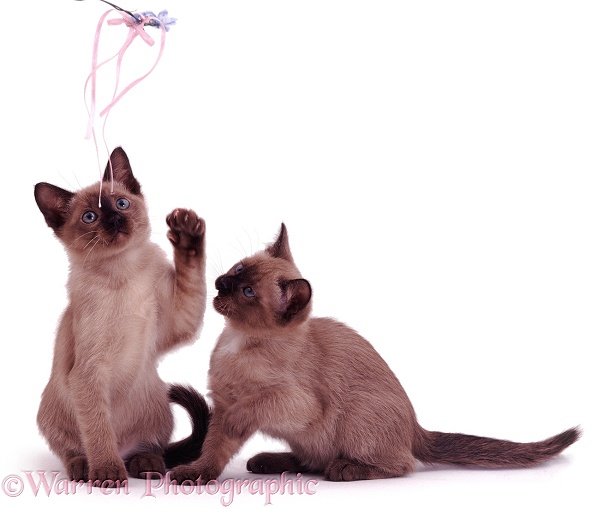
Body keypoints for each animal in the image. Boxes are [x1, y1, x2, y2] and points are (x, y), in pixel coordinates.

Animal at [35, 147, 211, 484]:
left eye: (121, 203)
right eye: (90, 217)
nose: (115, 219)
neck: (123, 272)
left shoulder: (179, 321)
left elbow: (190, 278)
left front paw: (185, 236)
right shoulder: (89, 372)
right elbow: (98, 430)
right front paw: (106, 472)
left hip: (156, 400)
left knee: (150, 448)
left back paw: (146, 464)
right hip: (52, 410)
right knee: (75, 448)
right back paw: (86, 467)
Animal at [170, 223, 580, 484]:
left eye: (248, 292)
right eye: (239, 270)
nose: (220, 282)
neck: (237, 342)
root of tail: (418, 429)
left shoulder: (293, 402)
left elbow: (249, 409)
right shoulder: (221, 403)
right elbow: (213, 450)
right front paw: (195, 474)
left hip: (356, 414)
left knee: (400, 464)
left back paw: (344, 469)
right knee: (312, 459)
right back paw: (271, 461)